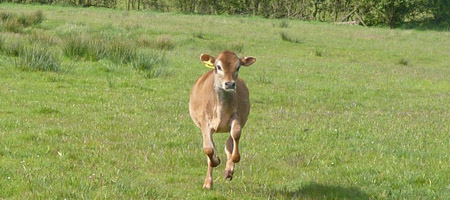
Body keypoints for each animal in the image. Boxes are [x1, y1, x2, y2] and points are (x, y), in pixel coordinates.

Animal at [188, 50, 255, 189]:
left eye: (238, 67)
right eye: (218, 67)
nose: (229, 84)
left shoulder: (236, 117)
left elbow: (236, 134)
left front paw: (232, 163)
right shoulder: (205, 123)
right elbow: (209, 149)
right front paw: (216, 161)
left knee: (229, 144)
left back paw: (228, 171)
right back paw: (208, 182)